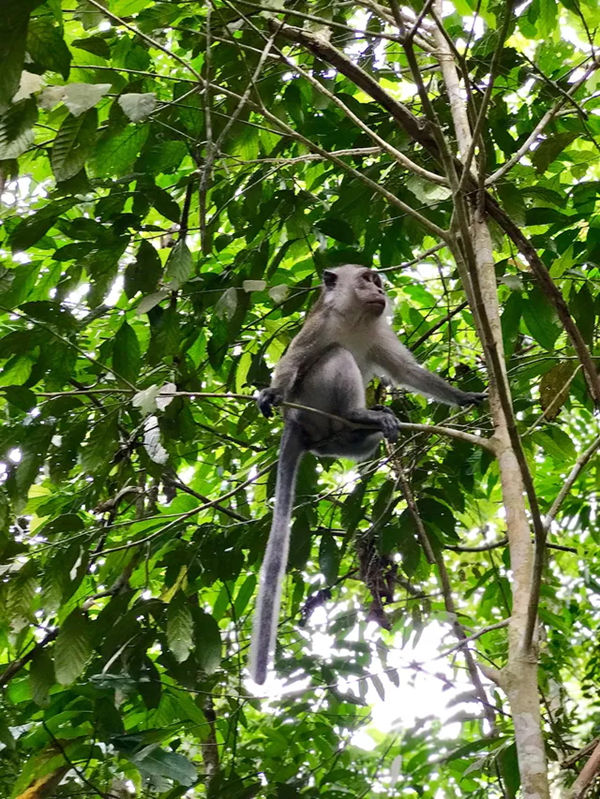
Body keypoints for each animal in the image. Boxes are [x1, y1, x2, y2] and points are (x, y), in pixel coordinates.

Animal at [246, 266, 486, 684]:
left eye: (377, 281)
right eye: (367, 279)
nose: (380, 291)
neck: (354, 318)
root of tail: (301, 429)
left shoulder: (379, 331)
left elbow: (407, 371)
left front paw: (463, 397)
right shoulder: (320, 324)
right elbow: (292, 361)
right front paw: (271, 392)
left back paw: (367, 426)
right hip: (309, 404)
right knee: (336, 356)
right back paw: (359, 413)